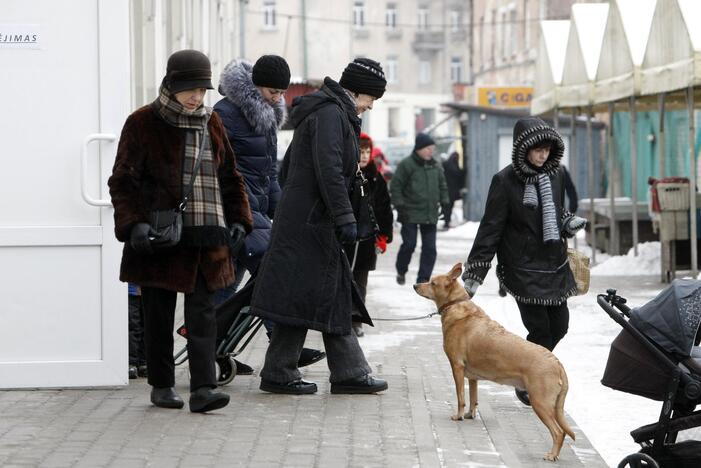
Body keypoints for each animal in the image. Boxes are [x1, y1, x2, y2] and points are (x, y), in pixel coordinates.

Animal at [412, 264, 572, 460]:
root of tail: (556, 362)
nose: (415, 285)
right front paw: (469, 415)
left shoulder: (457, 367)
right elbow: (473, 399)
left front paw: (459, 416)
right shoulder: (472, 377)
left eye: (433, 283)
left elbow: (460, 398)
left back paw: (551, 455)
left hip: (540, 402)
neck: (456, 305)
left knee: (558, 432)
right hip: (552, 405)